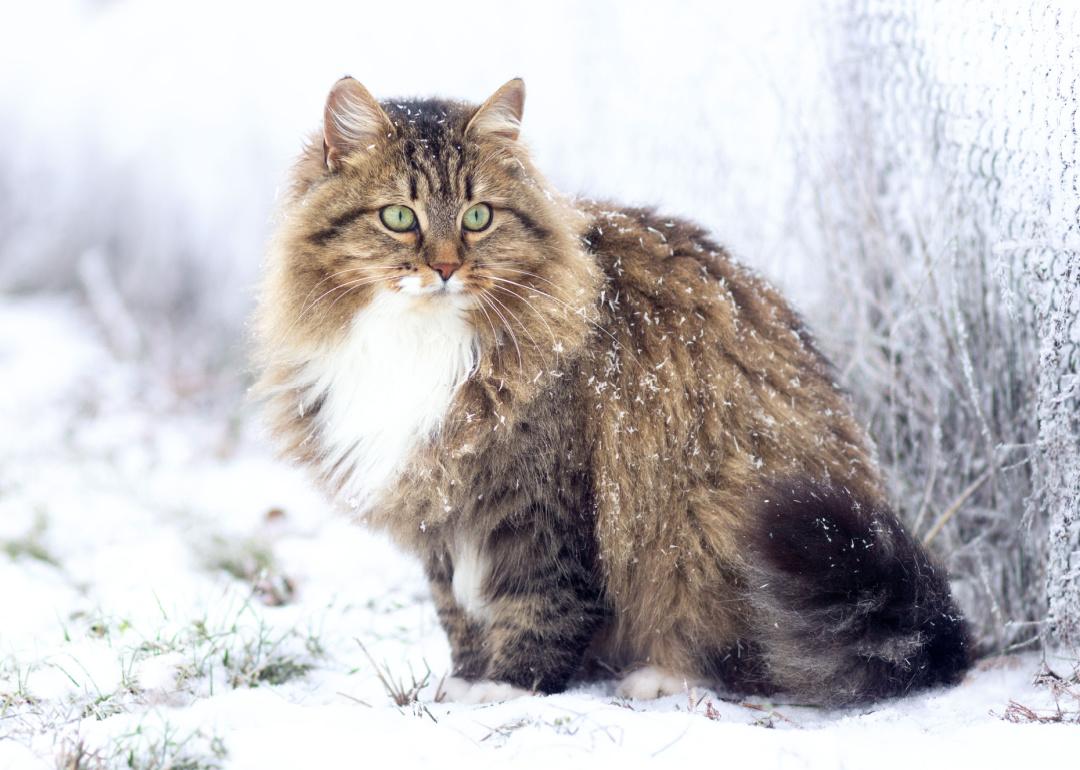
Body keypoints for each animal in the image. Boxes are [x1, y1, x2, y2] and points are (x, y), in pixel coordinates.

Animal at [252, 76, 972, 704]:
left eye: (479, 216)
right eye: (400, 217)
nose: (447, 266)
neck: (419, 341)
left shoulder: (541, 498)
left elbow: (540, 604)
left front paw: (508, 689)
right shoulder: (440, 504)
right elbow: (457, 609)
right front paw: (465, 680)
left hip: (712, 515)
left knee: (739, 655)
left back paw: (658, 677)